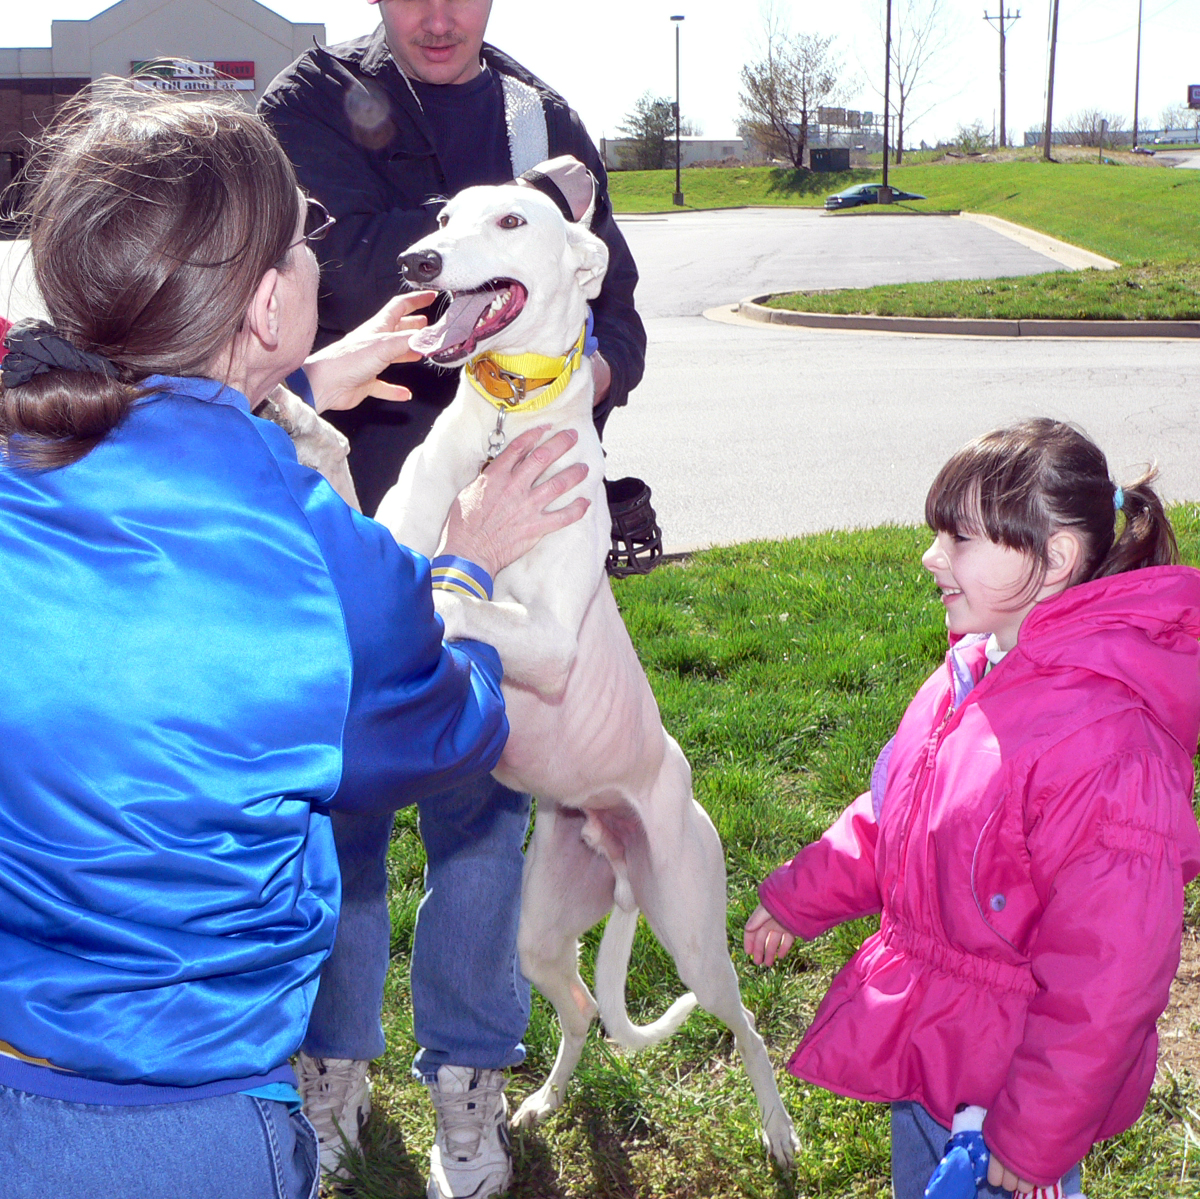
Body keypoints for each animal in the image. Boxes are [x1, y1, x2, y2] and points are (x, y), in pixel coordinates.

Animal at [374, 174, 796, 1166]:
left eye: (511, 218)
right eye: (442, 217)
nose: (414, 262)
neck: (507, 420)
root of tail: (616, 845)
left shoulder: (550, 637)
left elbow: (448, 597)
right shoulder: (397, 519)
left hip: (692, 931)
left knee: (746, 1026)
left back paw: (778, 1128)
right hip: (538, 928)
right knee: (575, 1014)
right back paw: (538, 1103)